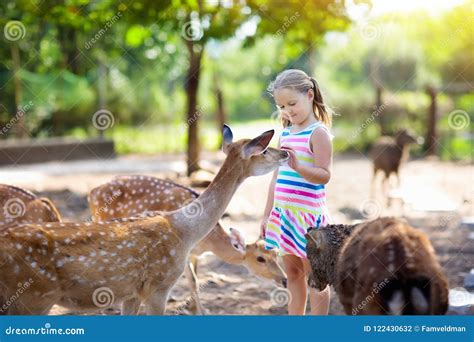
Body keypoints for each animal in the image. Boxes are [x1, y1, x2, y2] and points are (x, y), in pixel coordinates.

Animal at [89, 176, 288, 316]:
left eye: (276, 254)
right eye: (260, 258)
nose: (284, 279)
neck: (209, 242)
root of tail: (92, 192)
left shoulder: (194, 254)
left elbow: (196, 279)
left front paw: (193, 308)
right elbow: (193, 280)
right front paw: (200, 311)